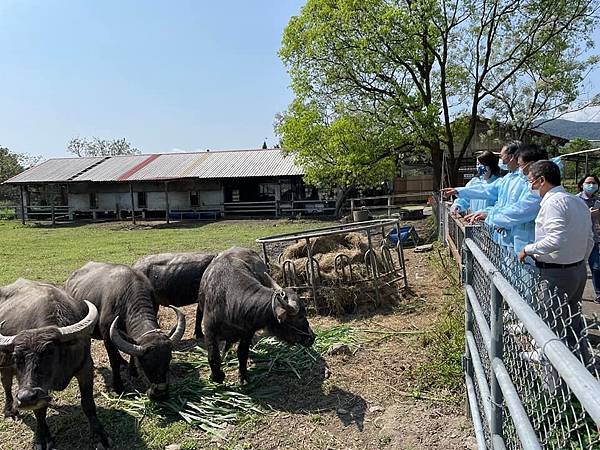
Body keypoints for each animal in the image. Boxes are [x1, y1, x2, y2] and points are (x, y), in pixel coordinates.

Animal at [0, 278, 110, 450]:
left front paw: (100, 436)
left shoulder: (86, 367)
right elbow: (39, 411)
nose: (26, 398)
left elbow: (88, 403)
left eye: (49, 352)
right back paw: (9, 411)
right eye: (16, 357)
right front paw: (42, 438)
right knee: (6, 384)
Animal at [63, 262, 185, 400]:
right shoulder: (107, 336)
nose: (160, 393)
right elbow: (114, 361)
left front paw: (132, 370)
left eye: (169, 358)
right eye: (145, 363)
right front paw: (118, 386)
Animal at [198, 248, 318, 384]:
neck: (229, 302)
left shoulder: (247, 332)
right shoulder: (209, 331)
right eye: (300, 316)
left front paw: (243, 376)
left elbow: (242, 353)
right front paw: (217, 376)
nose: (312, 337)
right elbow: (213, 357)